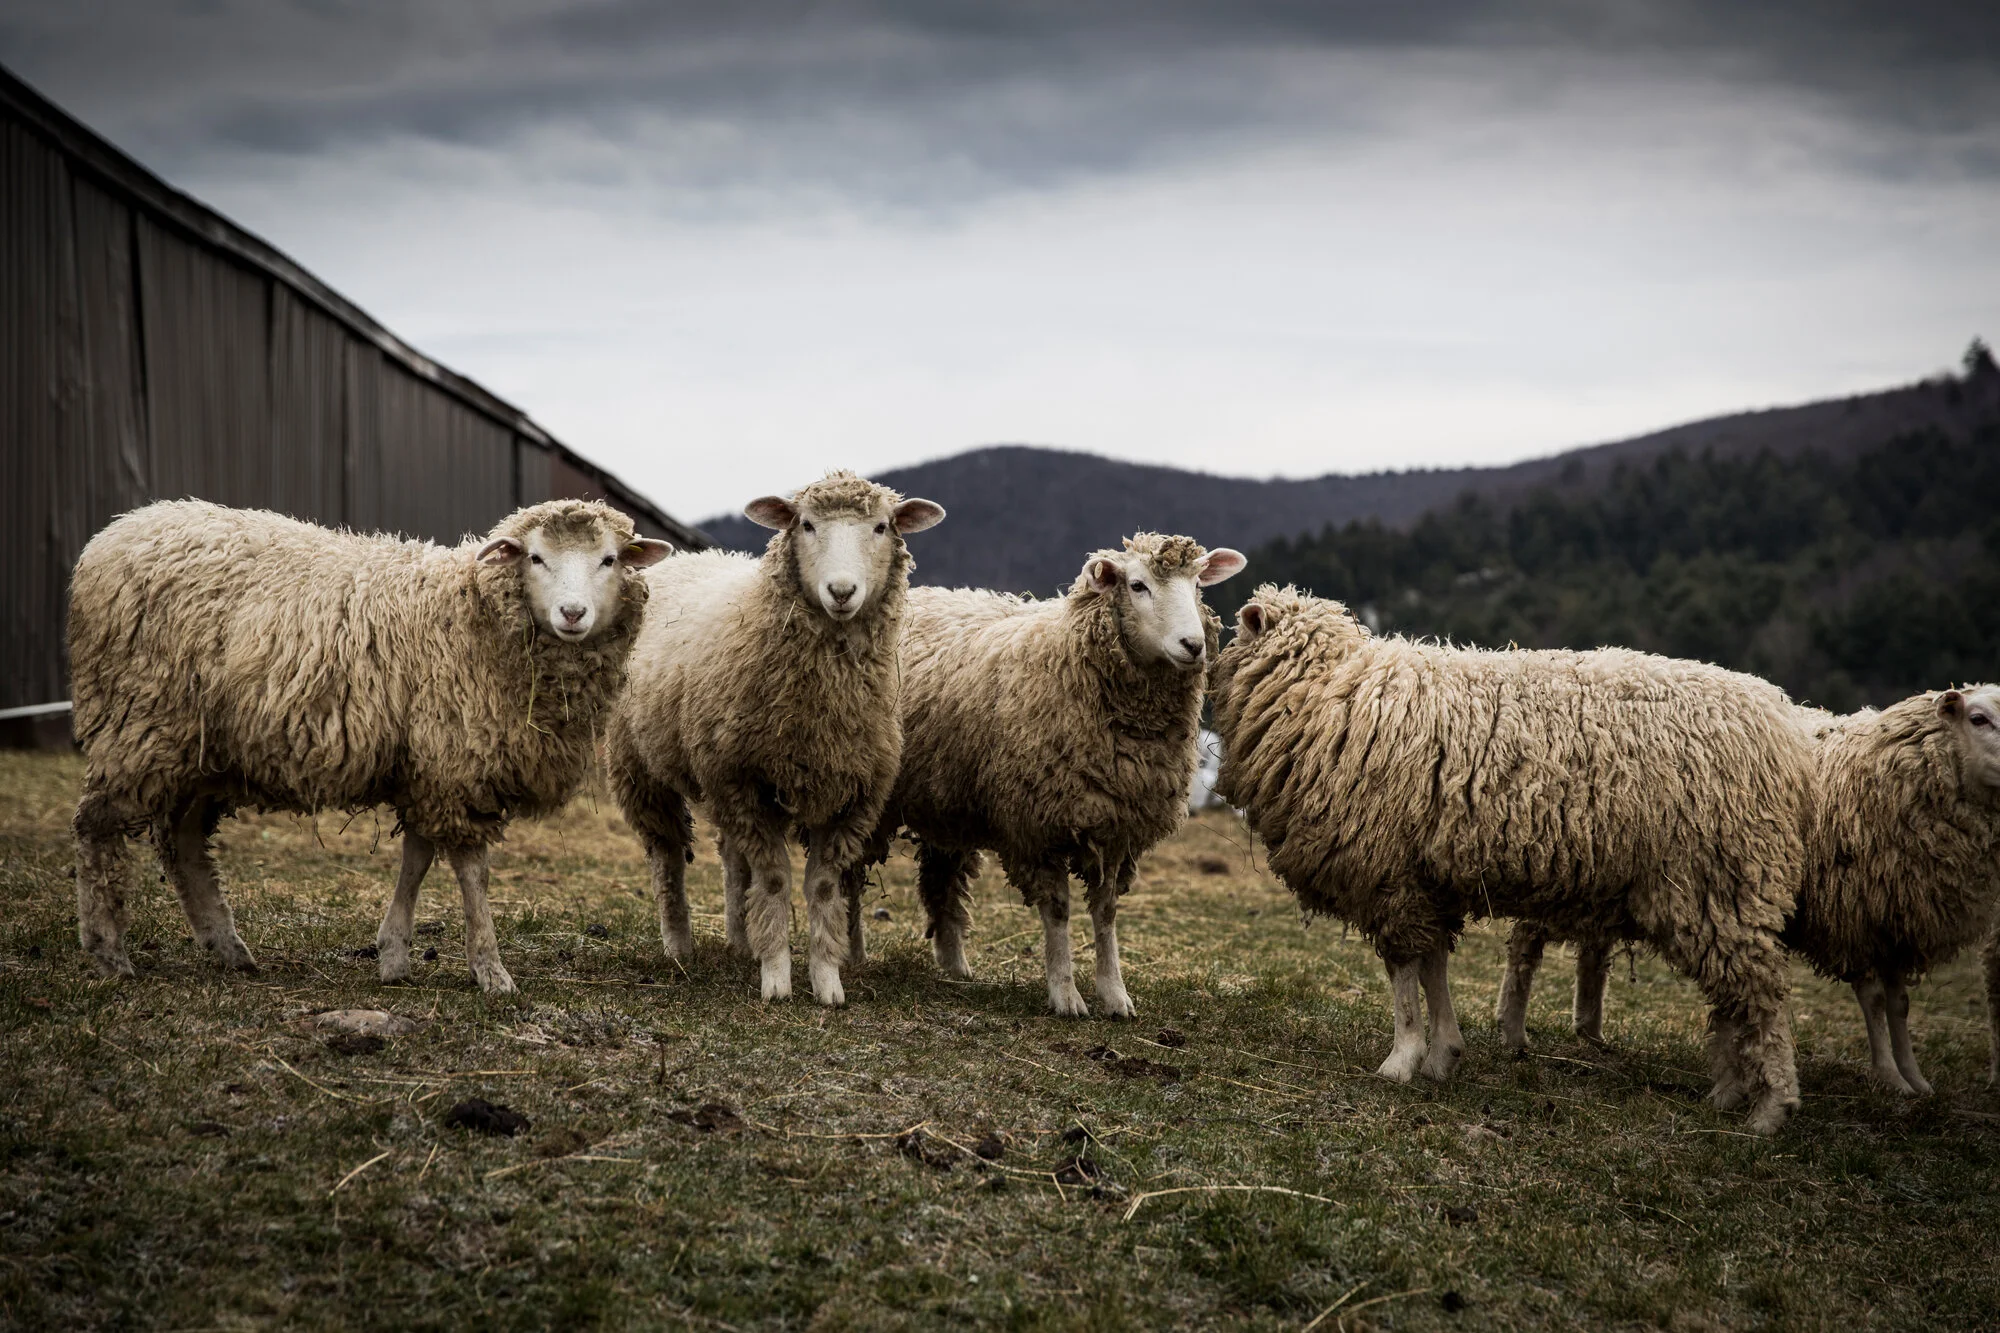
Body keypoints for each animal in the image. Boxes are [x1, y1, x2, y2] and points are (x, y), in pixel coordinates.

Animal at [68, 498, 670, 994]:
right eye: (537, 558)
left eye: (609, 560)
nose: (572, 614)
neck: (469, 612)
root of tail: (111, 536)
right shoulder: (456, 759)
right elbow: (471, 872)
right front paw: (490, 969)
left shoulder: (427, 764)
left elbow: (418, 857)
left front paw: (394, 954)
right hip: (138, 723)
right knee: (96, 826)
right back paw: (109, 953)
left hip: (202, 751)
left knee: (184, 842)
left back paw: (228, 949)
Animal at [606, 472, 944, 1006]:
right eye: (805, 524)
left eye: (882, 527)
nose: (841, 591)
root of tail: (693, 557)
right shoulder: (745, 782)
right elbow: (773, 879)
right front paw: (777, 977)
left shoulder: (852, 797)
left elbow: (822, 888)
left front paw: (827, 981)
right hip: (641, 766)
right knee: (667, 856)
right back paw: (679, 944)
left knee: (731, 858)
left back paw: (740, 939)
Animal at [842, 533, 1246, 1018]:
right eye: (1137, 585)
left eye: (1198, 583)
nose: (1193, 645)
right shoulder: (1038, 826)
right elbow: (1057, 911)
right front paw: (1065, 994)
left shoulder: (1117, 826)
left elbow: (1106, 912)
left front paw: (1115, 994)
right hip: (867, 791)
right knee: (850, 874)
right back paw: (852, 953)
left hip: (948, 799)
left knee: (943, 879)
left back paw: (955, 965)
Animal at [1209, 585, 1811, 1134]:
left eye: (1237, 627)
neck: (1330, 690)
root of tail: (1784, 725)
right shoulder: (1427, 880)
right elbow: (1433, 965)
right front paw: (1443, 1054)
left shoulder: (1388, 875)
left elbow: (1404, 972)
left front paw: (1402, 1060)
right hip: (1714, 891)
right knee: (1735, 995)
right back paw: (1727, 1095)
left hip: (1717, 875)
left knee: (1762, 994)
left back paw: (1771, 1109)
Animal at [1501, 688, 2000, 1095]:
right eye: (1979, 718)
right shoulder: (1854, 919)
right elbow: (1875, 1000)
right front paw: (1890, 1078)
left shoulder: (1895, 924)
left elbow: (1899, 1004)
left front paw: (1915, 1080)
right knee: (1526, 944)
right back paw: (1515, 1032)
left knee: (1590, 953)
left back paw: (1588, 1031)